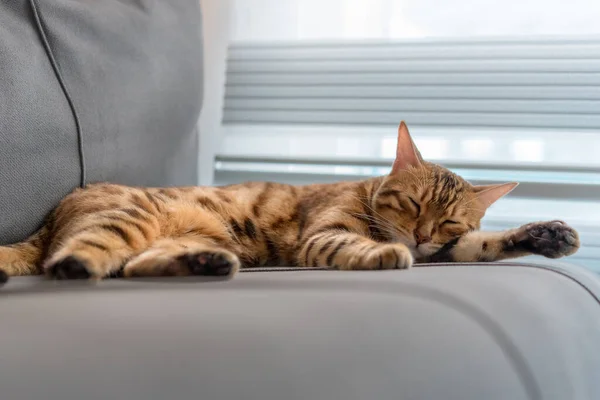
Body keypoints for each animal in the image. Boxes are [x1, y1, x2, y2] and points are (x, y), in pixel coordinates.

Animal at [0, 122, 580, 284]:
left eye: (449, 222)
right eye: (415, 207)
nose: (419, 237)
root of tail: (51, 216)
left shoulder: (446, 250)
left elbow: (484, 245)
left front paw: (546, 234)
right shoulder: (324, 234)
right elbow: (353, 245)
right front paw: (384, 253)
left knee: (136, 266)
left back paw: (205, 264)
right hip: (126, 219)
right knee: (74, 258)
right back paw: (76, 266)